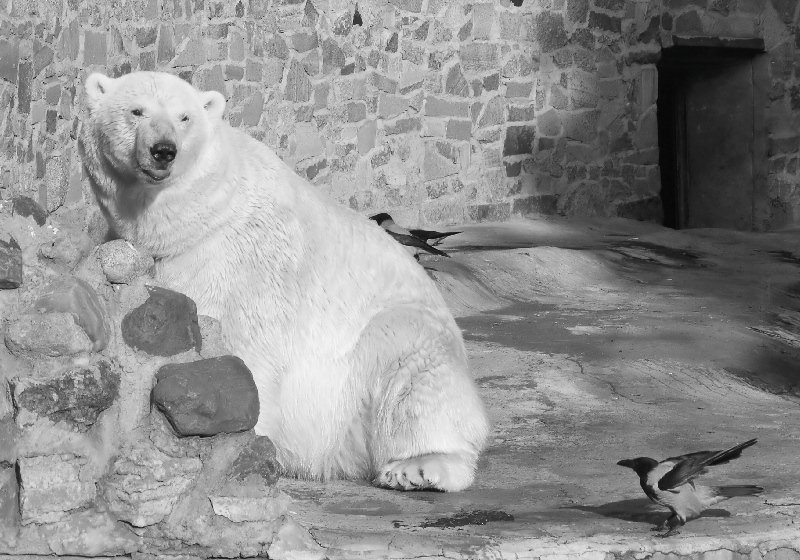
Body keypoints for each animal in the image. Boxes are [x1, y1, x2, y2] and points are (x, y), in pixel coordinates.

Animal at [79, 71, 489, 491]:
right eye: (136, 111)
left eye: (184, 117)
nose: (163, 150)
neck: (203, 214)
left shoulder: (246, 264)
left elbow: (247, 344)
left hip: (392, 341)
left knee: (414, 375)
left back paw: (417, 467)